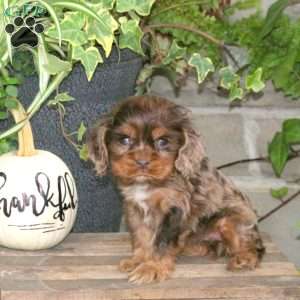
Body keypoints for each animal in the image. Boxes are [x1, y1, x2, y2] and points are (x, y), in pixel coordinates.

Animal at [87, 95, 264, 284]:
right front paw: (138, 260)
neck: (152, 183)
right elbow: (142, 237)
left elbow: (162, 243)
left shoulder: (174, 209)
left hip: (230, 220)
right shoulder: (135, 208)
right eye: (125, 140)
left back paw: (243, 259)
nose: (142, 162)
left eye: (162, 142)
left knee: (256, 247)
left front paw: (152, 268)